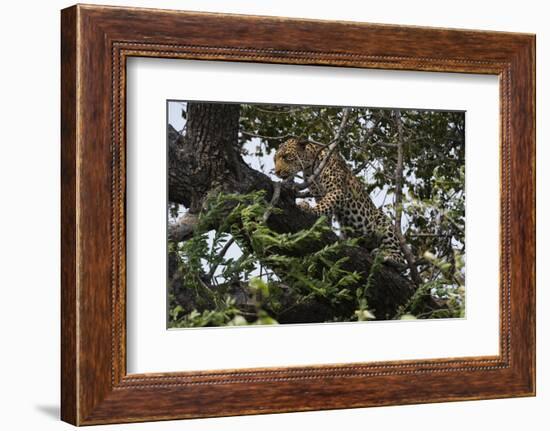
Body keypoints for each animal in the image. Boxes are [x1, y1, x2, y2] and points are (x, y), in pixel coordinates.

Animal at [274, 138, 406, 266]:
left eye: (287, 157)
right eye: (275, 160)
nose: (277, 172)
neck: (309, 167)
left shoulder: (337, 191)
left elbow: (324, 205)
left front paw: (308, 209)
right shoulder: (319, 194)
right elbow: (326, 209)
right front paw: (323, 224)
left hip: (382, 221)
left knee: (400, 260)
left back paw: (386, 256)